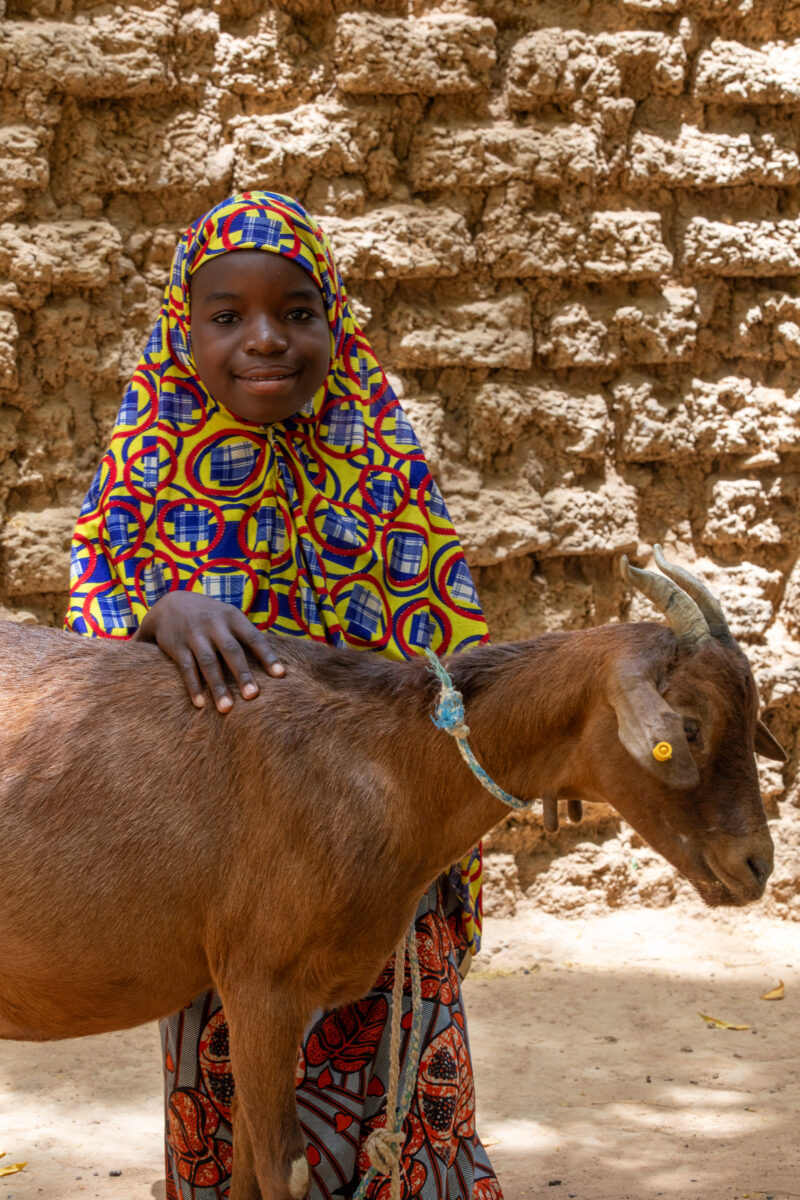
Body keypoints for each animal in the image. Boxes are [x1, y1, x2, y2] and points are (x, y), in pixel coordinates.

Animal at [0, 550, 784, 1200]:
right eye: (688, 728)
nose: (756, 865)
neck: (385, 763)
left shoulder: (279, 996)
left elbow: (250, 1164)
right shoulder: (260, 981)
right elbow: (283, 1169)